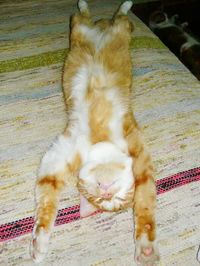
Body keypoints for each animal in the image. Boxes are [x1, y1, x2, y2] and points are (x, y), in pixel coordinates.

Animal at [30, 1, 159, 264]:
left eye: (116, 200)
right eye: (101, 198)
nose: (107, 193)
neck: (101, 141)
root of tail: (101, 26)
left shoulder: (57, 158)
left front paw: (145, 248)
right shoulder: (68, 150)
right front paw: (40, 239)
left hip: (113, 30)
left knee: (115, 17)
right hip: (81, 29)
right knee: (97, 14)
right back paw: (102, 4)